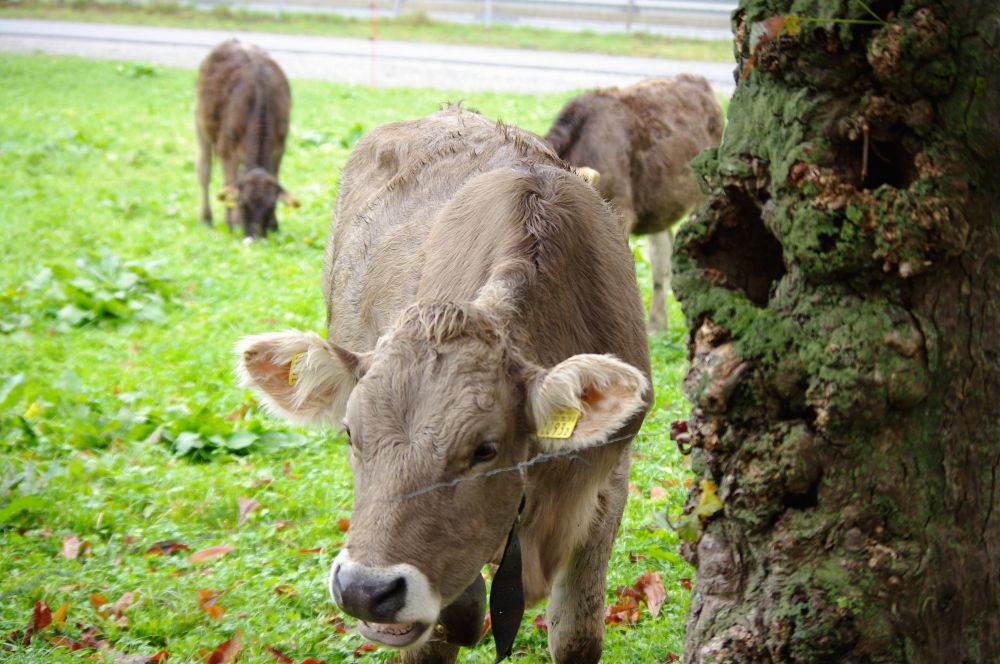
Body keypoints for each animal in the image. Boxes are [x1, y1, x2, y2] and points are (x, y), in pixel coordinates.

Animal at [195, 39, 298, 239]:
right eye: (243, 204)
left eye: (271, 206)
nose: (255, 236)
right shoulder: (227, 150)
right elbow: (229, 181)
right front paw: (231, 222)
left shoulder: (279, 148)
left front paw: (274, 224)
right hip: (200, 125)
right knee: (204, 171)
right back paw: (206, 217)